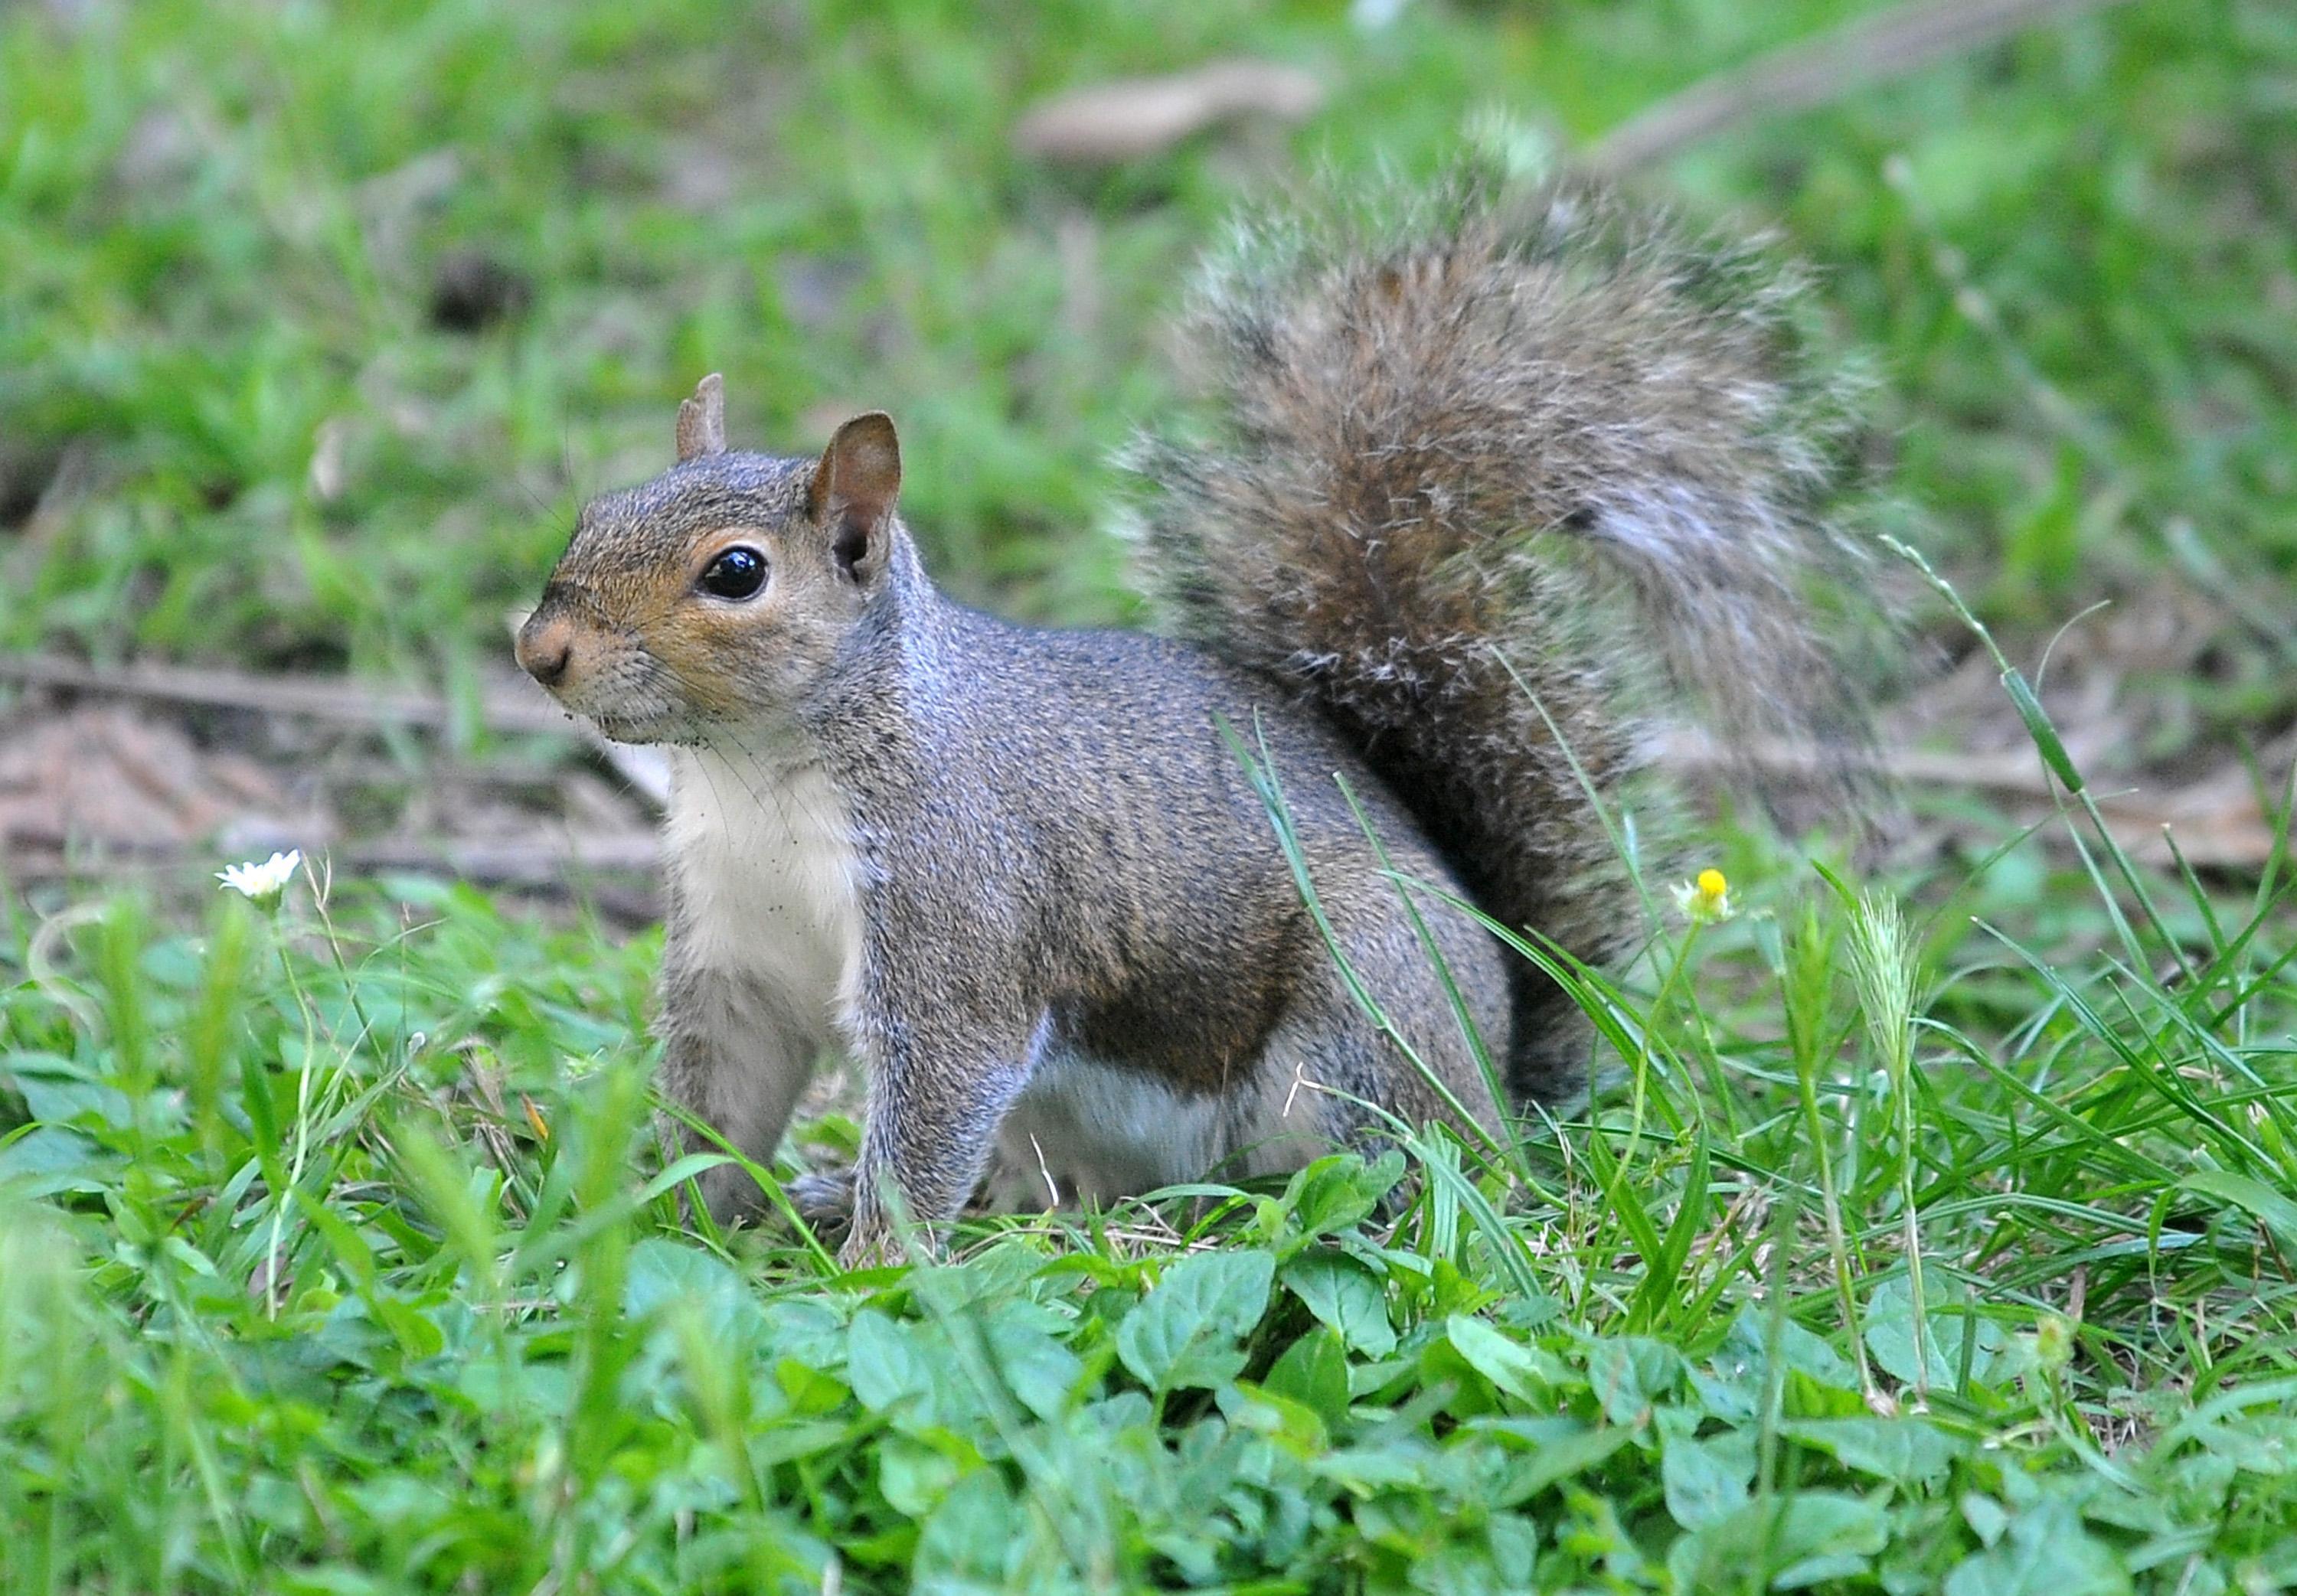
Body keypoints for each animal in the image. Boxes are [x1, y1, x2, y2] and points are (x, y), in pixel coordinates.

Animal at [514, 165, 1875, 1266]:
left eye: (737, 573)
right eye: (593, 510)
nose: (541, 650)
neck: (760, 772)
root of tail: (1501, 1081)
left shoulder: (957, 907)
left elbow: (938, 1096)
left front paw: (873, 1272)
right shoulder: (735, 947)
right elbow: (723, 1097)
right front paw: (662, 1219)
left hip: (1362, 1011)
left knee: (1392, 1168)